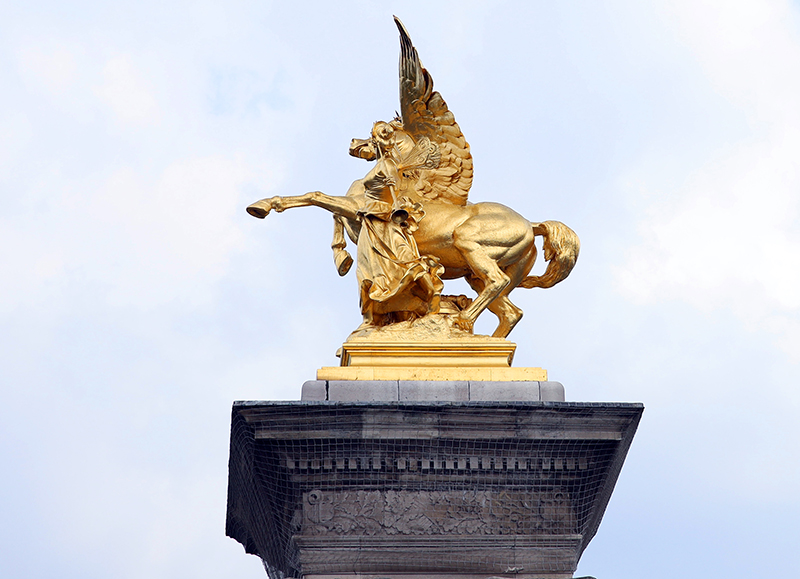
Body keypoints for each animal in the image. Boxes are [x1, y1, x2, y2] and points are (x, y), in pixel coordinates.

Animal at [247, 17, 580, 340]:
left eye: (375, 132)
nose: (353, 143)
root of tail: (531, 225)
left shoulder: (363, 208)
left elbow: (316, 197)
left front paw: (263, 206)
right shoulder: (356, 214)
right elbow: (332, 214)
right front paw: (342, 258)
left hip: (470, 245)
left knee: (496, 284)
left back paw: (459, 321)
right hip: (479, 273)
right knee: (511, 310)